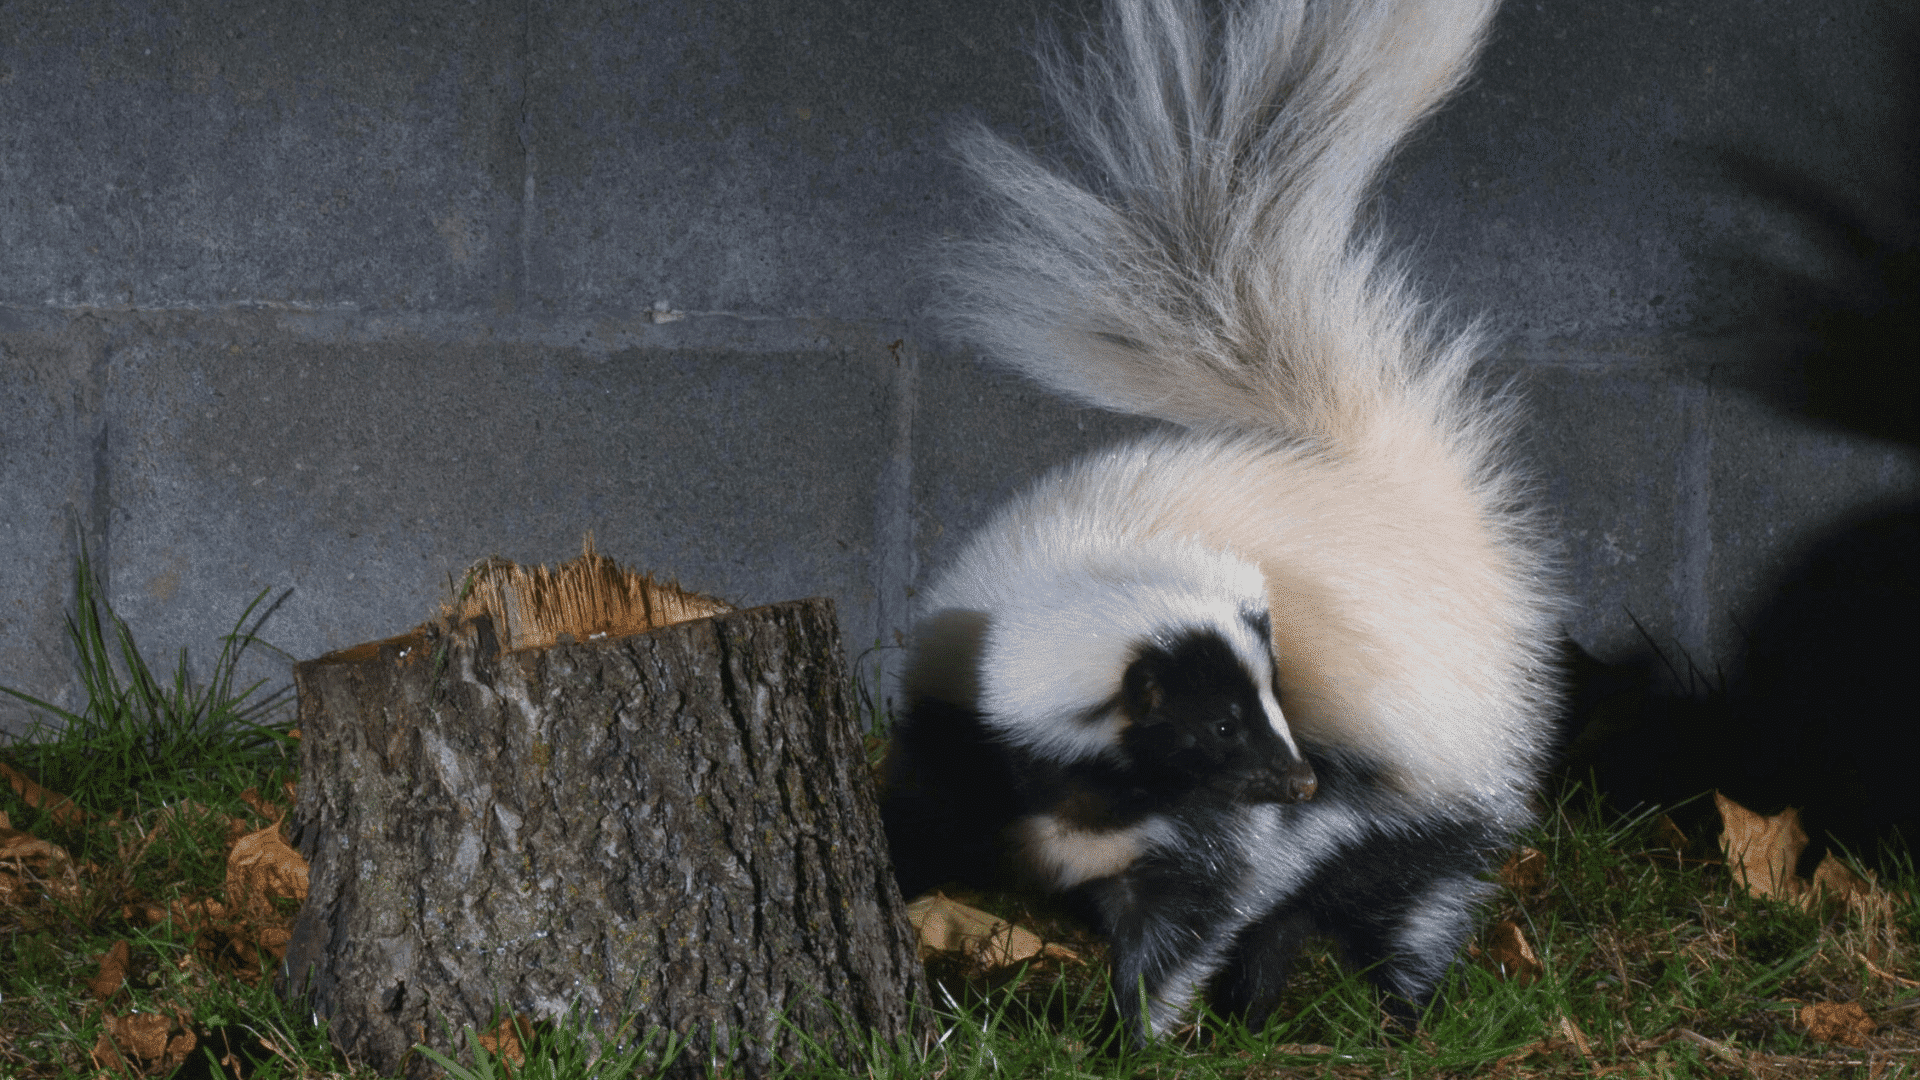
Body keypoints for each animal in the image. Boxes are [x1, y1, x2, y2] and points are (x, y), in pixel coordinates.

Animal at [883, 0, 1559, 1045]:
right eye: (1220, 725)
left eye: (1277, 702)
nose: (1301, 781)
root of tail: (1405, 502)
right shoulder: (959, 744)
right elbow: (916, 834)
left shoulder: (1220, 833)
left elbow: (1195, 915)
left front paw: (1126, 1040)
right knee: (1317, 913)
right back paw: (1261, 1015)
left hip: (1432, 784)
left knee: (1408, 904)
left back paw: (1394, 1016)